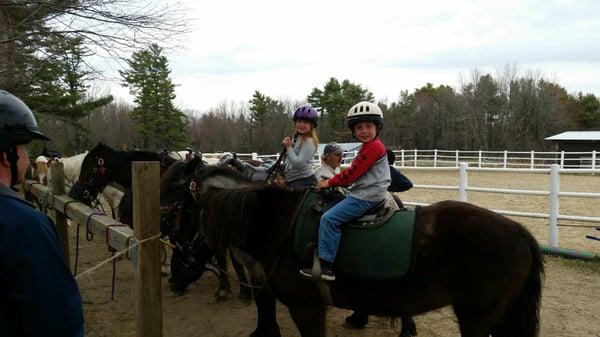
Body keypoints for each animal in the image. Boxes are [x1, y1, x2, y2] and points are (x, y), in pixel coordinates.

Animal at [169, 171, 544, 336]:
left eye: (182, 221)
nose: (171, 283)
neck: (280, 224)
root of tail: (518, 231)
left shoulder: (307, 307)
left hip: (478, 319)